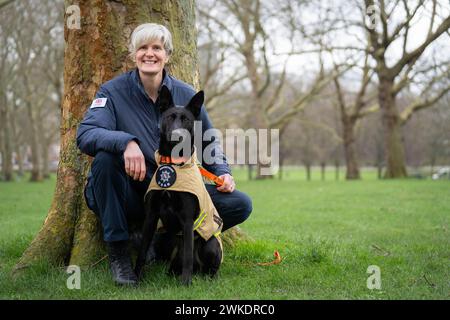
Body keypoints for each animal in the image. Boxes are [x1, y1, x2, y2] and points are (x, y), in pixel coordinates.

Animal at [135, 85, 223, 284]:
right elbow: (142, 250)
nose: (177, 136)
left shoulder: (188, 219)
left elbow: (188, 256)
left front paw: (185, 283)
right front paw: (135, 278)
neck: (173, 164)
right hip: (164, 238)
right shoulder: (151, 216)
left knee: (205, 265)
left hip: (211, 244)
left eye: (187, 120)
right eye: (169, 117)